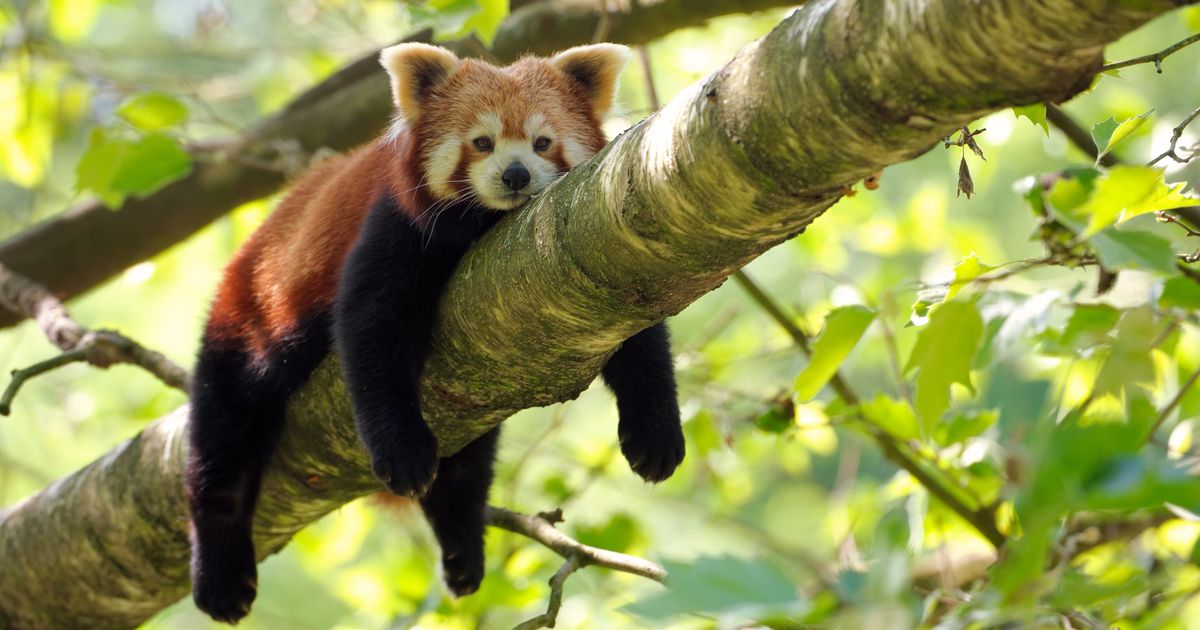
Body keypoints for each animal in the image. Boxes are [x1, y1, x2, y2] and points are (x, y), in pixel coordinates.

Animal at [181, 41, 681, 619]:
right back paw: (220, 572)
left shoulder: (605, 257)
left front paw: (655, 434)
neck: (487, 223)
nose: (516, 175)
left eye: (542, 142)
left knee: (468, 464)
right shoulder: (397, 223)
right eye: (481, 142)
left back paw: (462, 543)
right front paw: (403, 452)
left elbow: (640, 341)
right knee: (225, 431)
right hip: (251, 318)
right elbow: (372, 335)